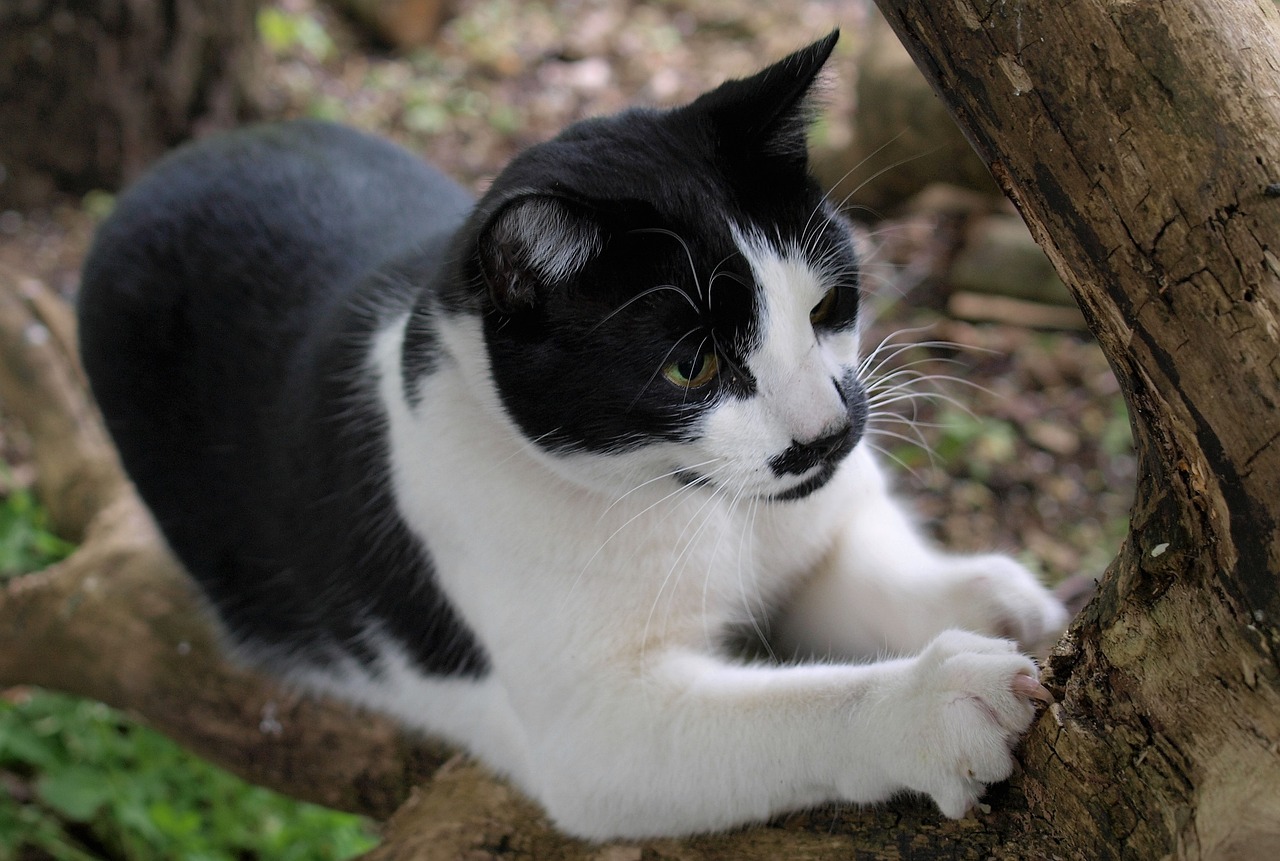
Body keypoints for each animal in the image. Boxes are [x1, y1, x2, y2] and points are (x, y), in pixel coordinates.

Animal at [77, 33, 1070, 839]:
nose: (827, 433)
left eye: (828, 304)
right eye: (691, 367)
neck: (706, 507)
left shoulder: (826, 513)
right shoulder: (593, 731)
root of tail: (179, 161)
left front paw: (995, 598)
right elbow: (794, 708)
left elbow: (864, 563)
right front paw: (934, 703)